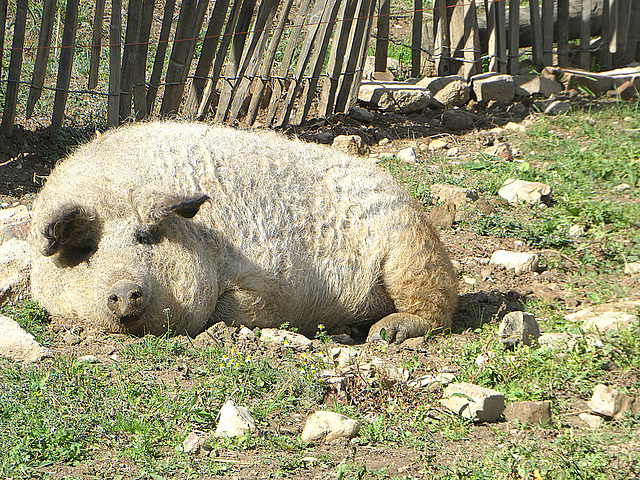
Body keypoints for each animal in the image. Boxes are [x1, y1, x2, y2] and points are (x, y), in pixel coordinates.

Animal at [27, 122, 458, 344]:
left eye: (145, 237)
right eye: (87, 249)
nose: (124, 288)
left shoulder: (269, 279)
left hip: (409, 251)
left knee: (438, 308)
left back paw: (382, 334)